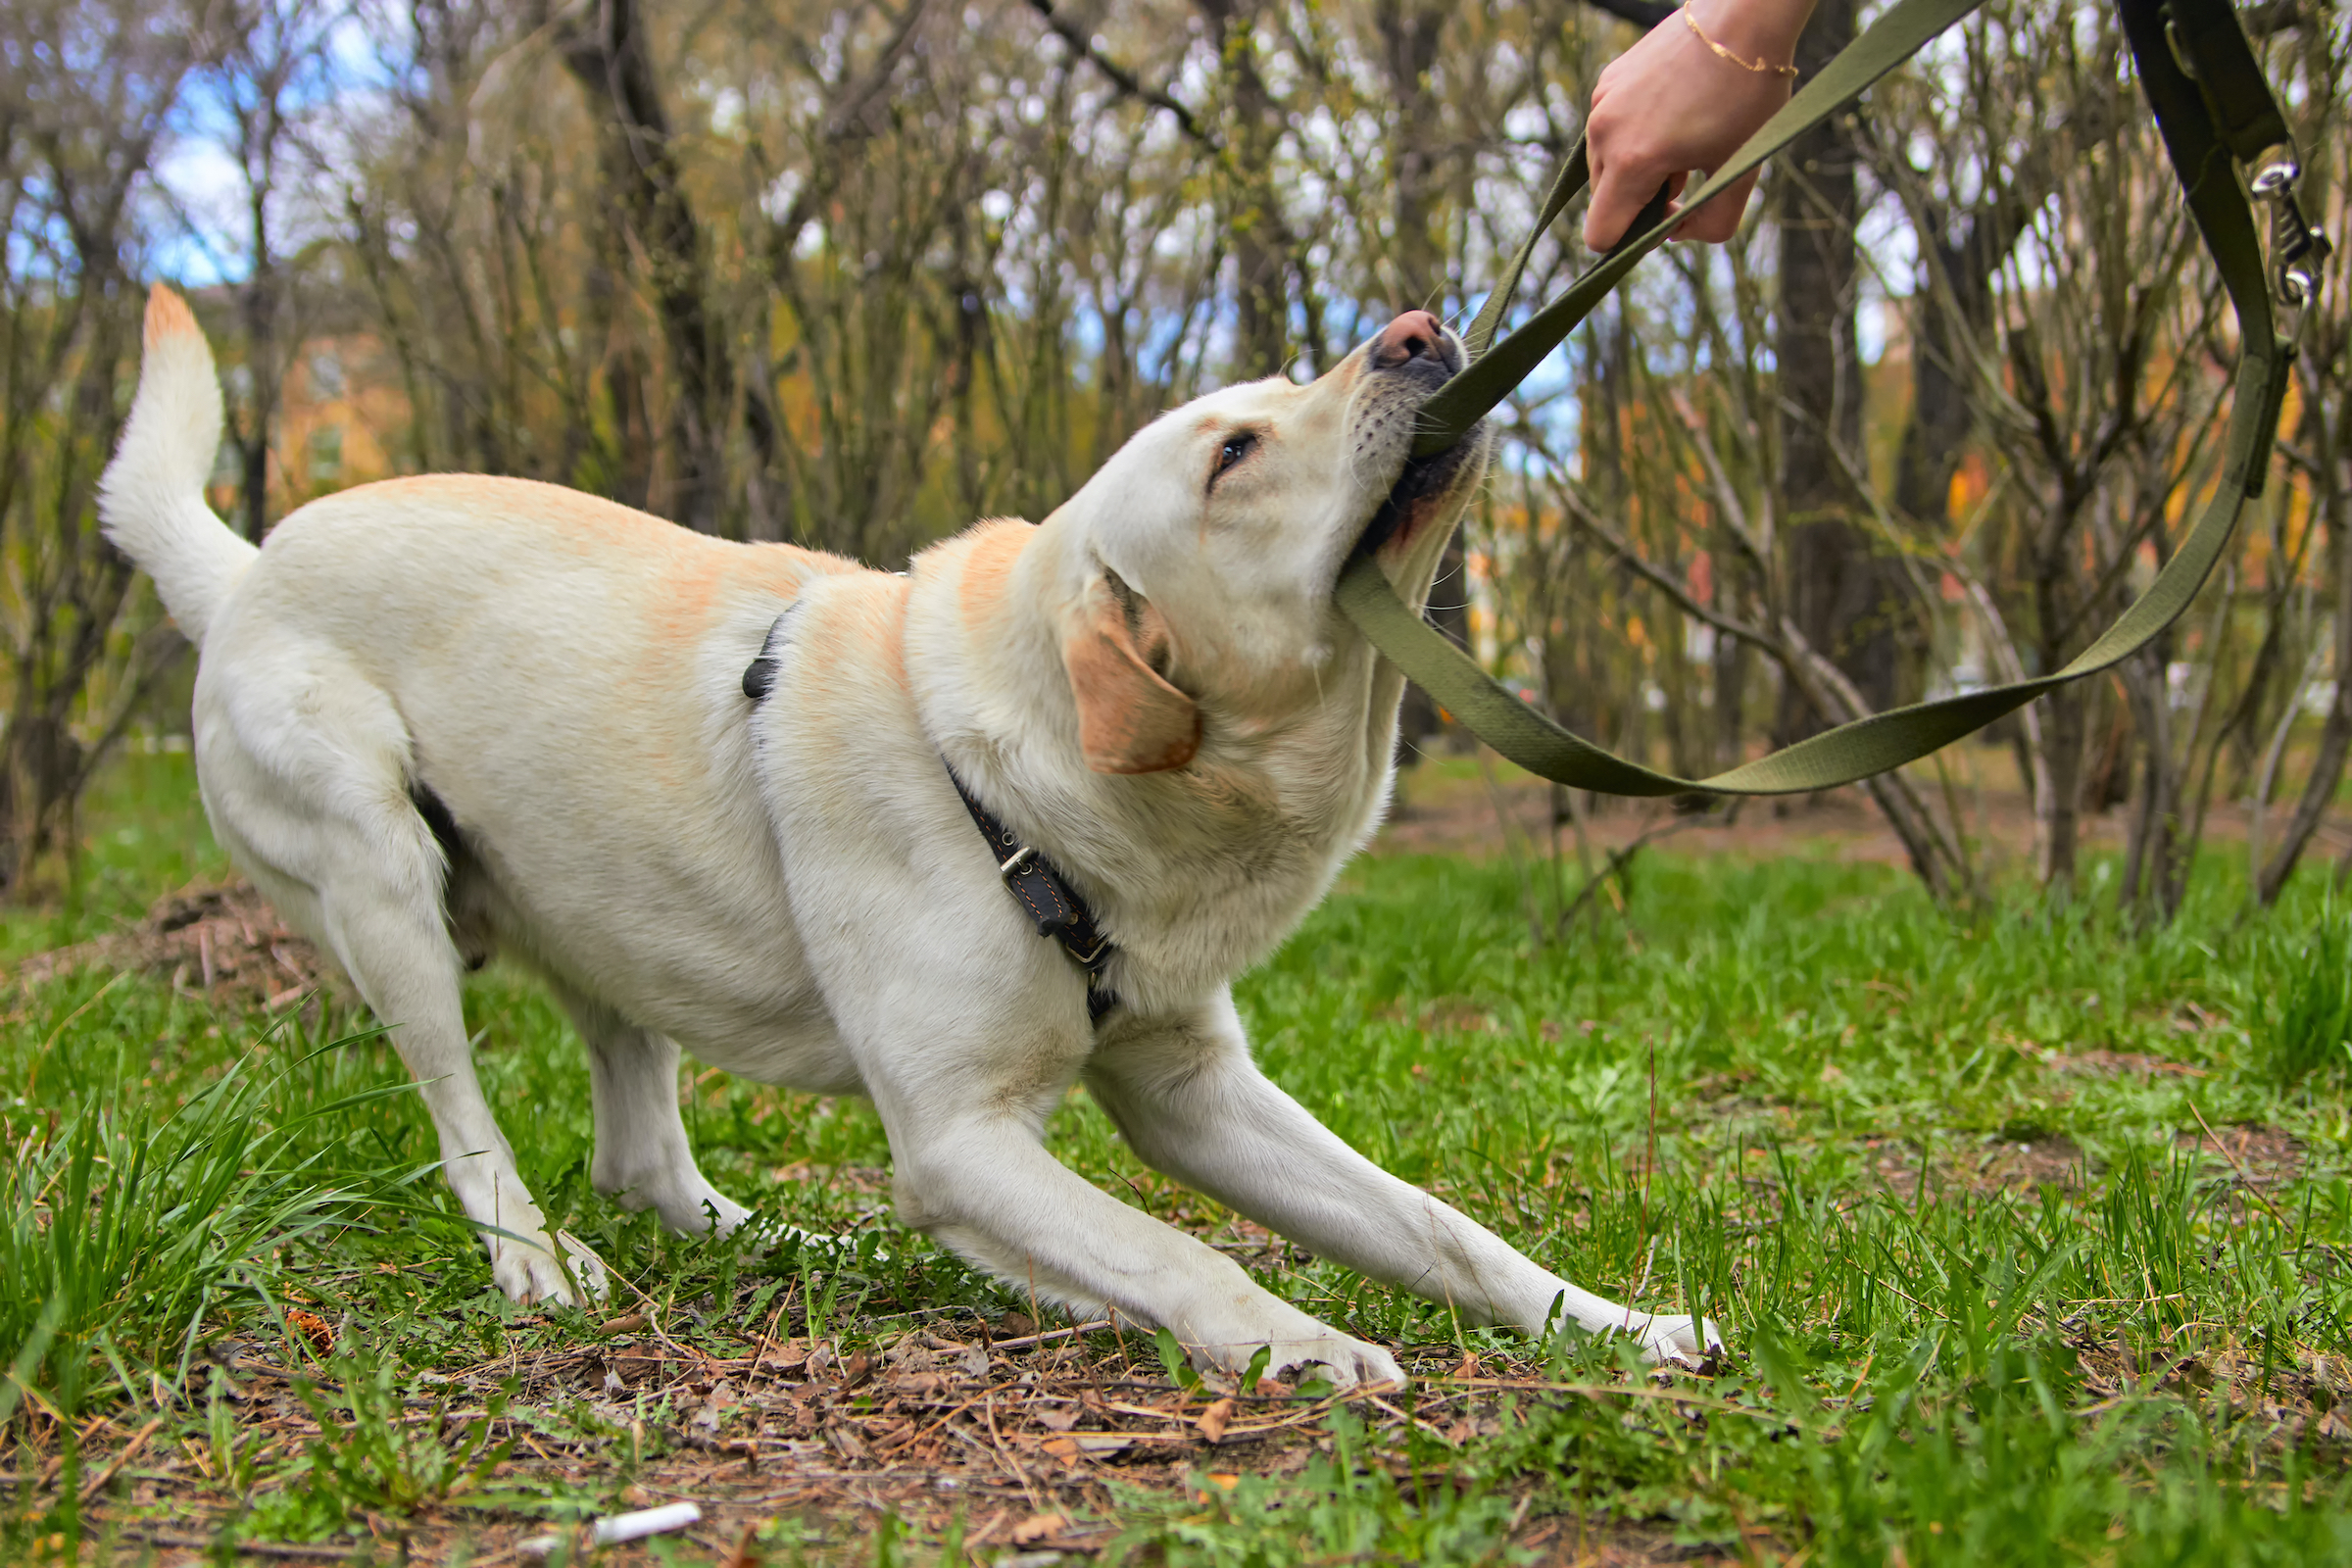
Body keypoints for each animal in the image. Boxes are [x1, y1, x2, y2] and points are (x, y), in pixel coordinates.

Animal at [101, 285, 1721, 1382]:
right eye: (1234, 456)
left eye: (1279, 387)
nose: (1419, 330)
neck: (1031, 788)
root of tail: (244, 565)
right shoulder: (958, 1137)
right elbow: (1172, 1245)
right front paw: (1294, 1345)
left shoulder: (1192, 1090)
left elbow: (1442, 1229)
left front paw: (1622, 1324)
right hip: (382, 882)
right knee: (465, 1117)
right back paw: (538, 1262)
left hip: (609, 925)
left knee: (648, 1164)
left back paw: (810, 1248)